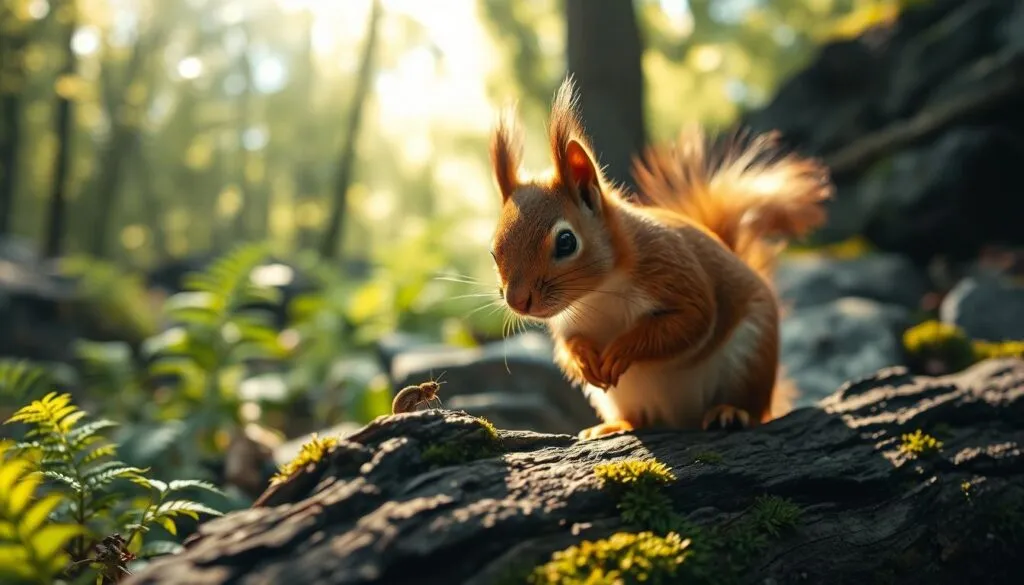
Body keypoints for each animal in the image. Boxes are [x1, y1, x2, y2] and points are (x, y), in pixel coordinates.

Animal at [487, 78, 832, 440]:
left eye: (566, 242)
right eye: (494, 251)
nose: (518, 301)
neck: (597, 293)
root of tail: (682, 417)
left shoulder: (671, 267)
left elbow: (691, 319)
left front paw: (621, 350)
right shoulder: (567, 324)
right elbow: (567, 347)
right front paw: (583, 360)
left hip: (751, 357)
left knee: (750, 406)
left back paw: (730, 411)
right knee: (639, 418)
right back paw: (614, 426)